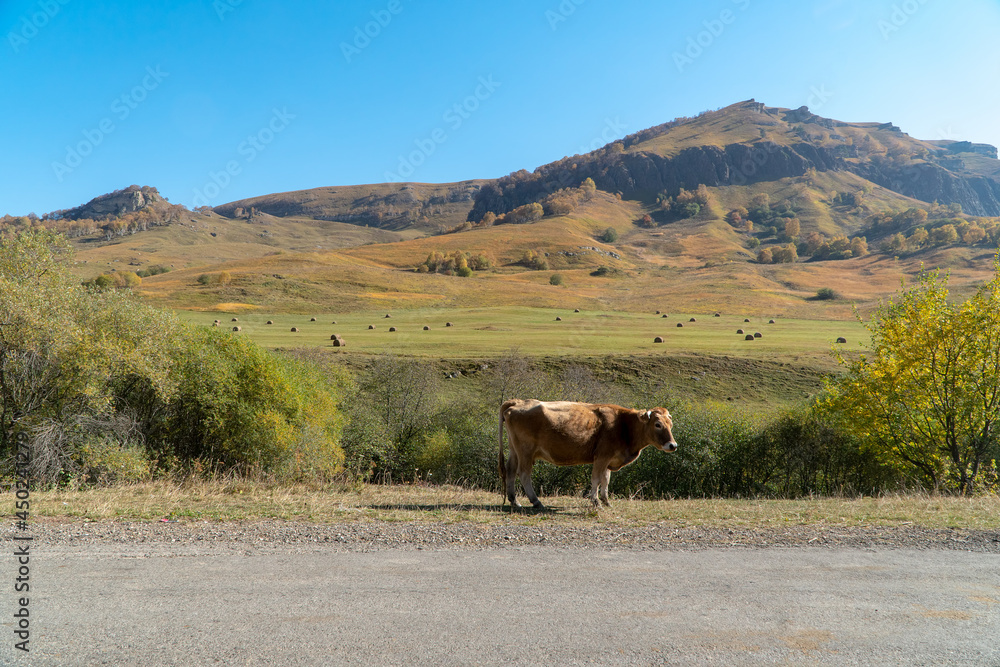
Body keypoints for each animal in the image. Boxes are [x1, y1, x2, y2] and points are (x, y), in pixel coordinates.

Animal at [499, 399, 678, 509]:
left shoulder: (609, 459)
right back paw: (536, 501)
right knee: (524, 473)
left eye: (670, 424)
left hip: (515, 450)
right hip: (526, 451)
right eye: (657, 424)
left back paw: (514, 500)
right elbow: (596, 479)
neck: (623, 424)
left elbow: (605, 480)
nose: (673, 445)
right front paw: (596, 502)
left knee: (511, 470)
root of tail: (517, 402)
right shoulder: (602, 457)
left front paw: (606, 501)